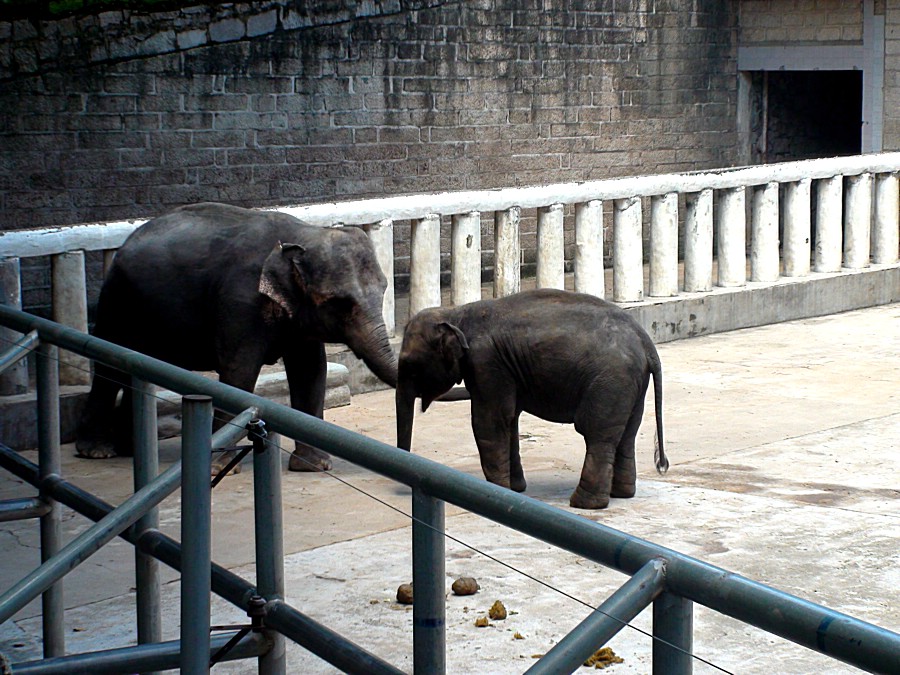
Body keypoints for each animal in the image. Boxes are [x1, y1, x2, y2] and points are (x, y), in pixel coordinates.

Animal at [75, 203, 400, 472]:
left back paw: (127, 450)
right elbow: (239, 371)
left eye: (384, 288)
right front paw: (219, 467)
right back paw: (97, 451)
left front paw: (314, 466)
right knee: (110, 368)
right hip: (117, 301)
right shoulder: (239, 302)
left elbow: (311, 369)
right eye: (338, 303)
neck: (302, 235)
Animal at [396, 288, 668, 510]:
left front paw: (496, 491)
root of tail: (646, 343)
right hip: (631, 383)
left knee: (597, 435)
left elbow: (489, 421)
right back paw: (621, 494)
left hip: (610, 381)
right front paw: (515, 490)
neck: (455, 313)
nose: (402, 488)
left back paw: (584, 504)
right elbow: (509, 419)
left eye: (410, 366)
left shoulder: (485, 362)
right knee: (626, 434)